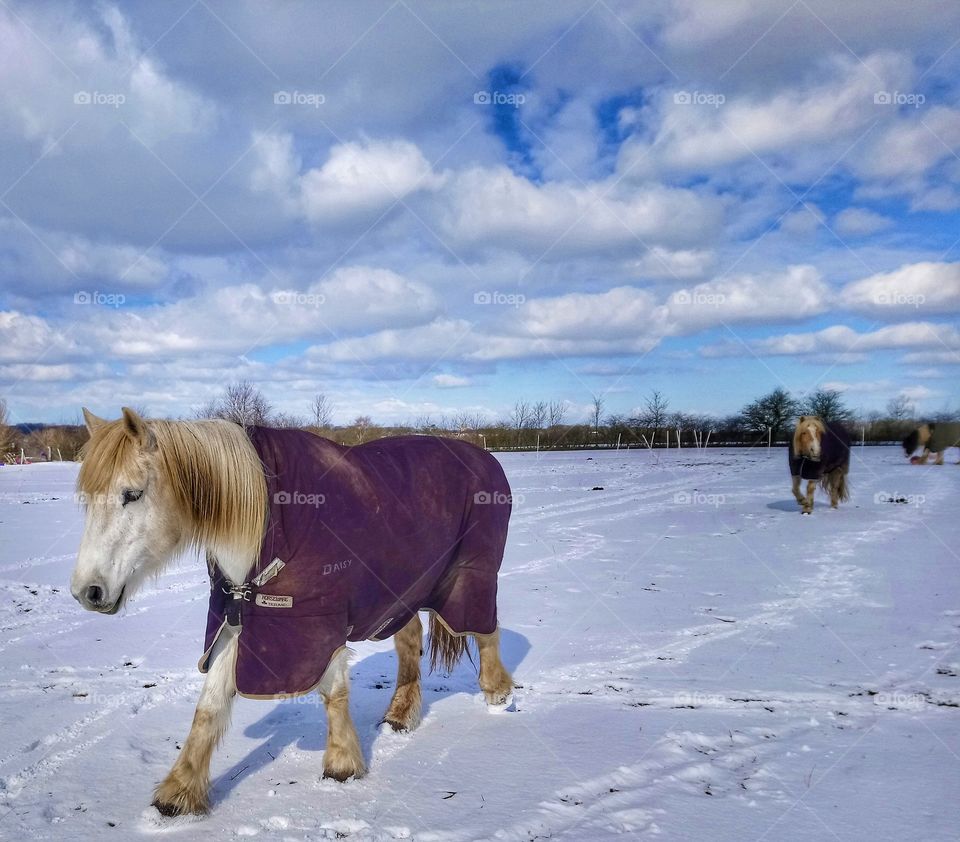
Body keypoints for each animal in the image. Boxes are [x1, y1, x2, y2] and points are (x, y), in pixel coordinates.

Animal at [70, 406, 512, 812]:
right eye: (87, 500)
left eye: (132, 494)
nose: (86, 591)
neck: (266, 525)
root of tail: (484, 458)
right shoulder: (236, 622)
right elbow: (209, 706)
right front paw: (179, 791)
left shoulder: (318, 625)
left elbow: (334, 691)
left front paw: (341, 765)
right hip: (399, 591)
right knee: (410, 641)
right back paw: (400, 716)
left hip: (472, 575)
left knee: (486, 629)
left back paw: (498, 694)